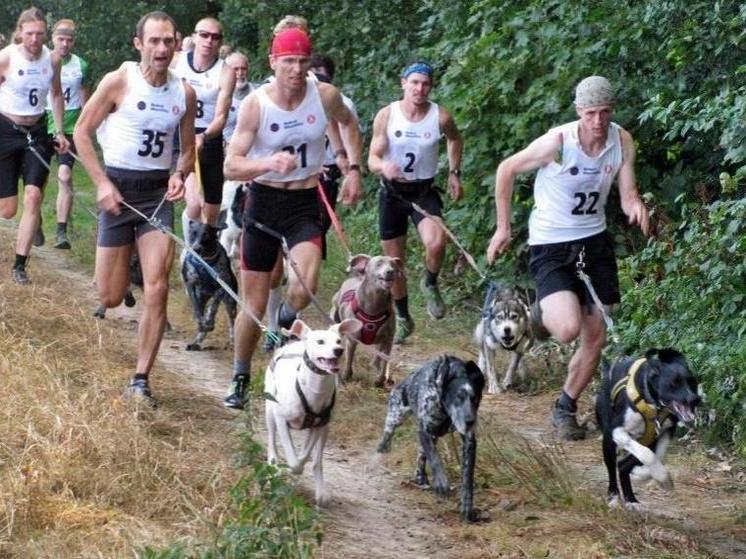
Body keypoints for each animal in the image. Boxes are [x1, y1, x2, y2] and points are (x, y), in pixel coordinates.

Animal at [181, 219, 237, 350]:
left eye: (206, 235)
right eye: (193, 233)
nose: (196, 249)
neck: (204, 261)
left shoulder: (221, 288)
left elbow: (213, 308)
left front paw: (209, 323)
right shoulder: (191, 285)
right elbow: (197, 311)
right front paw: (202, 324)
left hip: (230, 302)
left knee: (231, 321)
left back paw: (232, 339)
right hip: (202, 297)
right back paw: (197, 341)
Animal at [264, 320, 360, 508]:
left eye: (339, 341)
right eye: (320, 342)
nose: (339, 350)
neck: (314, 391)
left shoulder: (318, 425)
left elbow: (305, 456)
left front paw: (300, 463)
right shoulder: (280, 418)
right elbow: (293, 460)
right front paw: (289, 468)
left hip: (326, 429)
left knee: (317, 461)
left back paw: (320, 490)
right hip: (270, 411)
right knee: (272, 443)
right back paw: (274, 468)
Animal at [374, 356, 486, 524]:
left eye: (475, 399)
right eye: (458, 397)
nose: (470, 421)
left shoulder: (469, 442)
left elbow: (467, 479)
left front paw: (467, 507)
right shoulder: (424, 430)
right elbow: (435, 458)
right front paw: (441, 483)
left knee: (421, 459)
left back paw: (420, 477)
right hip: (395, 419)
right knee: (387, 438)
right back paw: (381, 451)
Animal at [592, 348, 696, 510]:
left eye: (692, 382)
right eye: (673, 383)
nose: (695, 399)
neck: (654, 406)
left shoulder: (663, 433)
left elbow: (658, 456)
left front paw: (647, 474)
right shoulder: (617, 431)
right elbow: (647, 455)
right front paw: (663, 478)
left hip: (646, 438)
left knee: (623, 465)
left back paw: (631, 499)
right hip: (609, 440)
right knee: (612, 466)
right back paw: (614, 496)